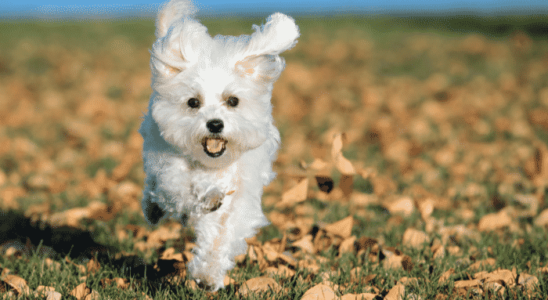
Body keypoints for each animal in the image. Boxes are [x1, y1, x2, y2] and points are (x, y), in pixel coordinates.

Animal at [139, 0, 298, 290]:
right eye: (193, 102)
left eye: (233, 100)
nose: (214, 124)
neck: (211, 166)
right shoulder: (170, 173)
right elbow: (180, 191)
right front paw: (202, 198)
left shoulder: (239, 196)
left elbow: (221, 235)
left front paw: (207, 274)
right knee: (152, 190)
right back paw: (153, 209)